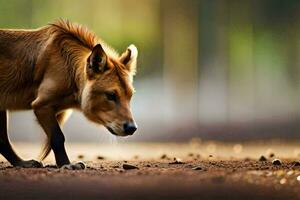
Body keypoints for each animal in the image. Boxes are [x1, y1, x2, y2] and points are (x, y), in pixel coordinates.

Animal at [0, 19, 138, 169]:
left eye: (130, 96)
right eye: (111, 95)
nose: (132, 128)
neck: (69, 68)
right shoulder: (41, 105)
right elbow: (58, 138)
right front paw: (66, 164)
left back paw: (22, 163)